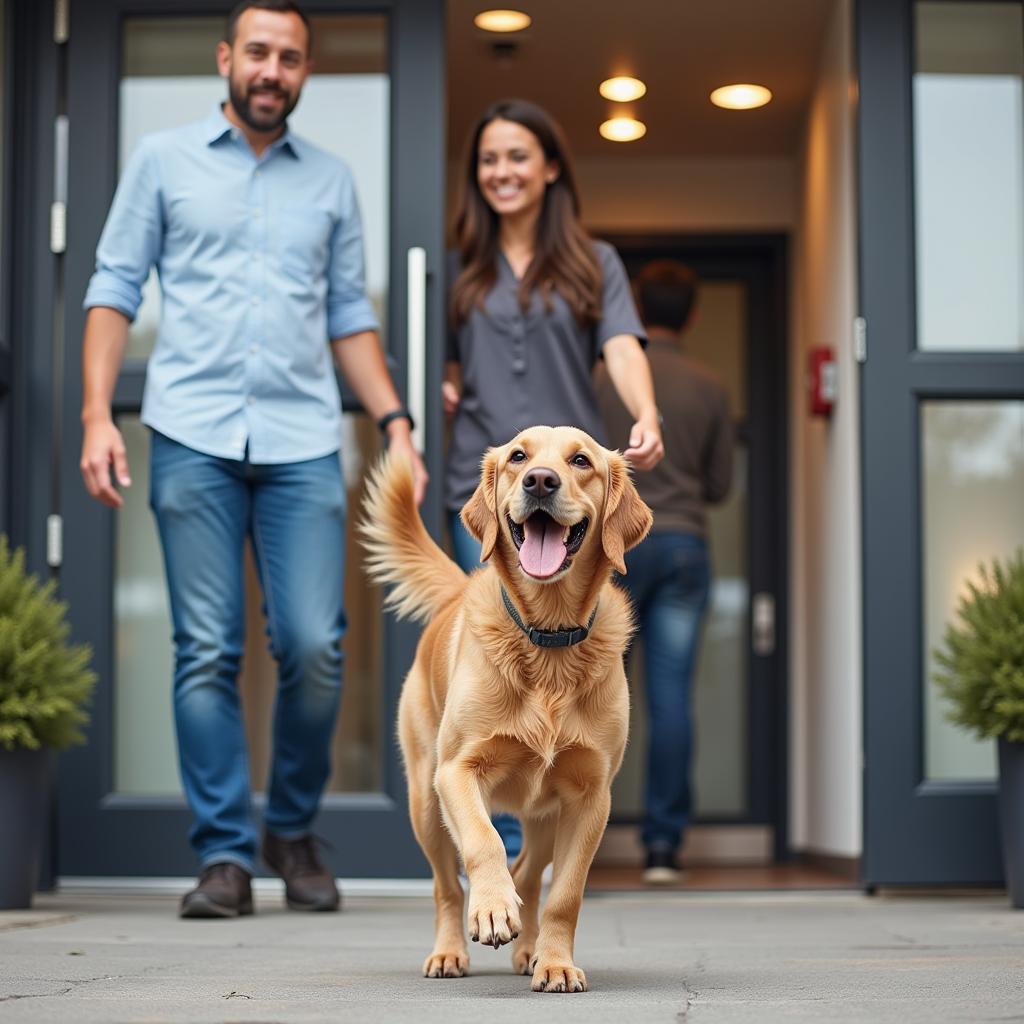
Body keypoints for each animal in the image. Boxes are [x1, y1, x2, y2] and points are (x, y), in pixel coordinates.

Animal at [360, 423, 647, 991]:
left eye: (581, 460)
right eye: (518, 457)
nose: (540, 480)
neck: (548, 638)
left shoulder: (591, 797)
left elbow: (565, 894)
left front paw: (555, 962)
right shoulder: (456, 771)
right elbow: (483, 843)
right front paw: (492, 909)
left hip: (545, 817)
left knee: (530, 876)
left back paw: (532, 949)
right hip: (424, 802)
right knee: (449, 885)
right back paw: (450, 950)